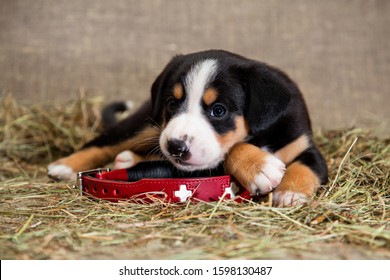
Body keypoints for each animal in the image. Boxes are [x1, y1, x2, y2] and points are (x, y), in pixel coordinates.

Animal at [49, 49, 330, 207]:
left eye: (219, 110)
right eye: (172, 103)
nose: (175, 147)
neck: (261, 137)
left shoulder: (305, 146)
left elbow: (305, 167)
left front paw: (290, 193)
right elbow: (233, 147)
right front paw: (260, 167)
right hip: (144, 124)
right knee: (103, 142)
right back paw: (64, 166)